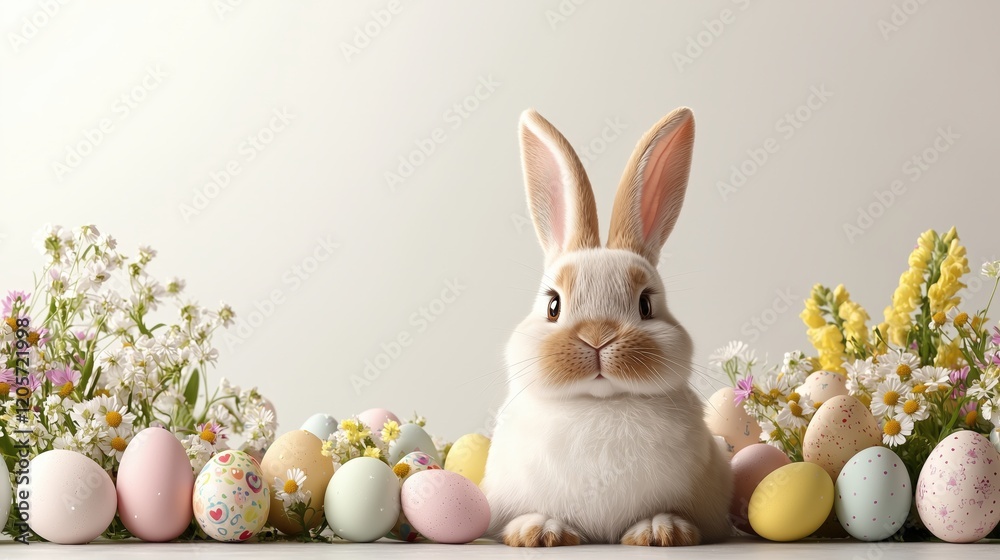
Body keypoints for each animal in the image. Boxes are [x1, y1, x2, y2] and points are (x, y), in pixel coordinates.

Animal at [480, 107, 733, 547]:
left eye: (645, 305)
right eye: (553, 305)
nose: (597, 336)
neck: (599, 403)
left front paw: (660, 530)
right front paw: (539, 531)